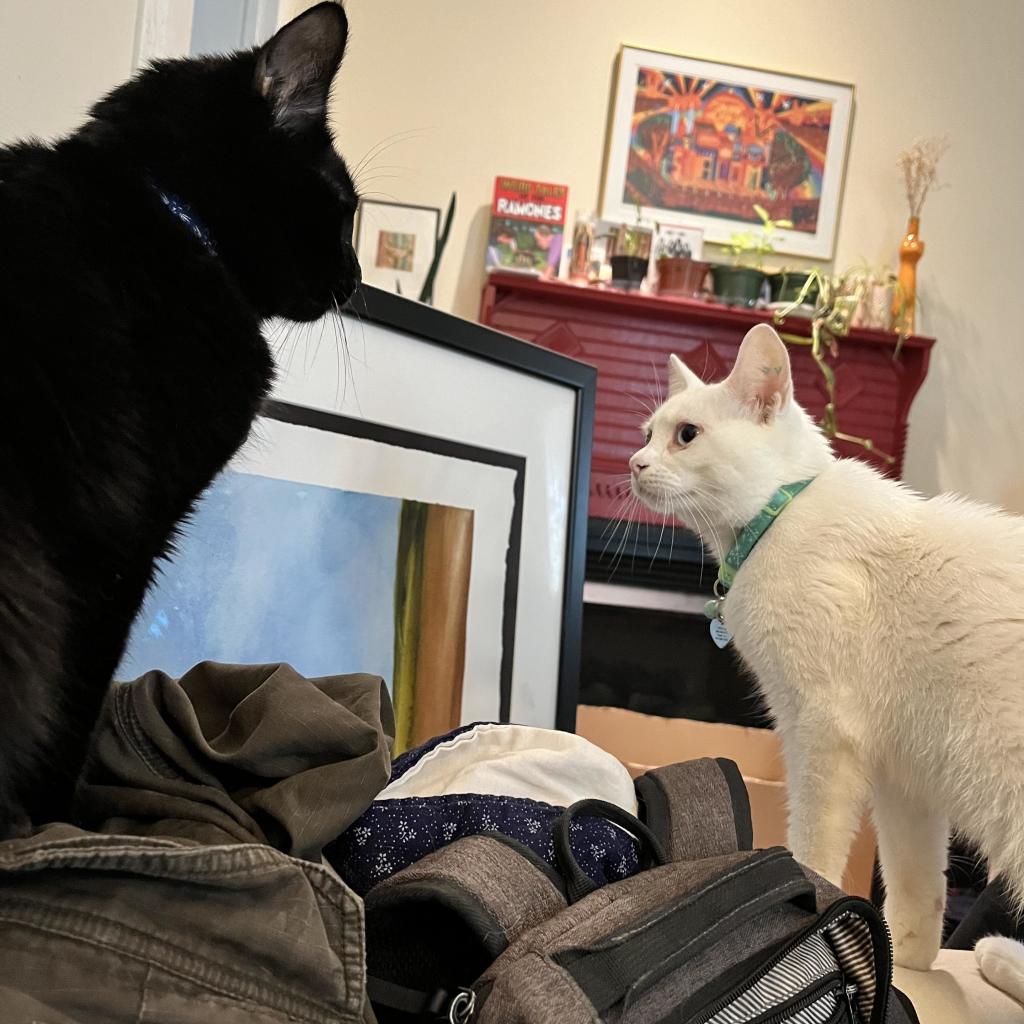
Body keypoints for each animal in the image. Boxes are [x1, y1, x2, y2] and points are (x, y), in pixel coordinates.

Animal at [0, 2, 360, 831]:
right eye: (347, 208)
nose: (357, 280)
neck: (167, 214)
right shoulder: (120, 543)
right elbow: (78, 696)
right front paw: (55, 819)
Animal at [626, 321, 1019, 999]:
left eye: (686, 435)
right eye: (649, 431)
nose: (634, 463)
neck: (775, 516)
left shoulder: (821, 736)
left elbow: (813, 850)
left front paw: (819, 929)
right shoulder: (904, 780)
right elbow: (916, 885)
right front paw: (906, 966)